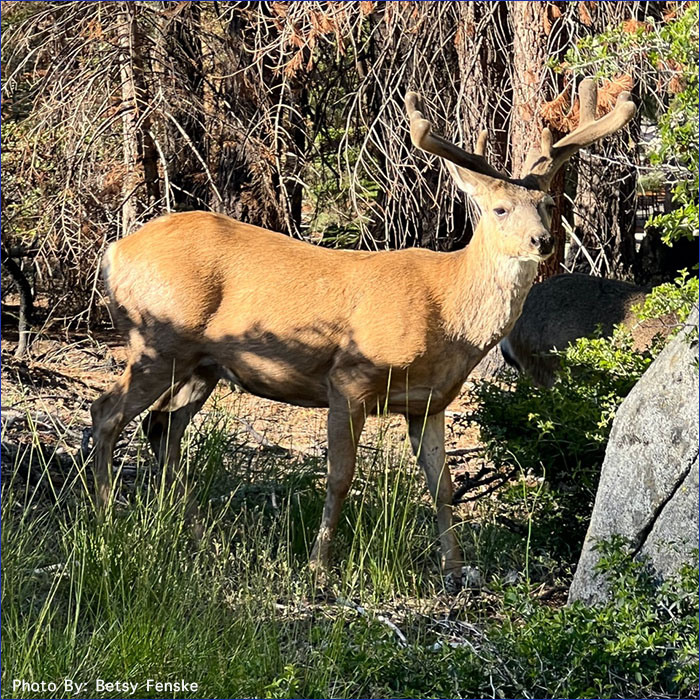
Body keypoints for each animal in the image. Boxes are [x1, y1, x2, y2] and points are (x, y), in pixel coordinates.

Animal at [89, 79, 636, 584]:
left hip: (202, 364)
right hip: (157, 340)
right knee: (107, 411)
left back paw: (195, 533)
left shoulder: (429, 402)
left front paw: (456, 569)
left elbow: (443, 486)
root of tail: (114, 252)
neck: (448, 313)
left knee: (162, 427)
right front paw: (318, 567)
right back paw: (107, 518)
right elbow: (339, 476)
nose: (542, 241)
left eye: (546, 204)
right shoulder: (349, 378)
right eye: (500, 209)